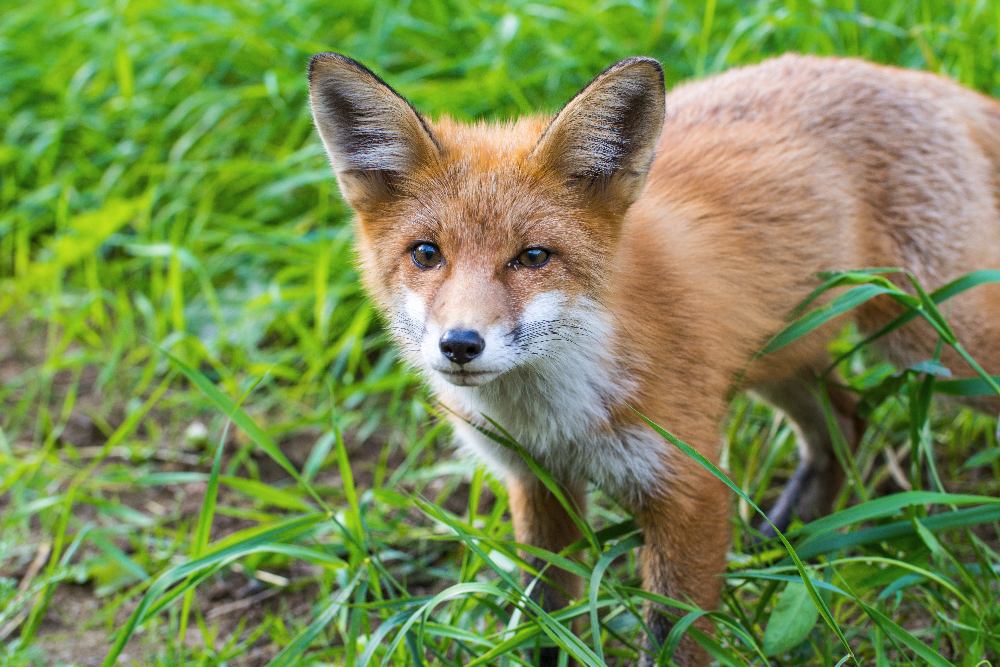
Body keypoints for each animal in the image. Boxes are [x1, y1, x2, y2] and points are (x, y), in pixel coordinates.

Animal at [306, 53, 1000, 667]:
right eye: (426, 253)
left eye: (533, 257)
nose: (459, 344)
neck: (556, 417)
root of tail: (918, 78)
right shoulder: (539, 486)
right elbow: (544, 620)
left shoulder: (690, 486)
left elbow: (671, 638)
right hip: (777, 359)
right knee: (847, 418)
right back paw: (790, 537)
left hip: (938, 346)